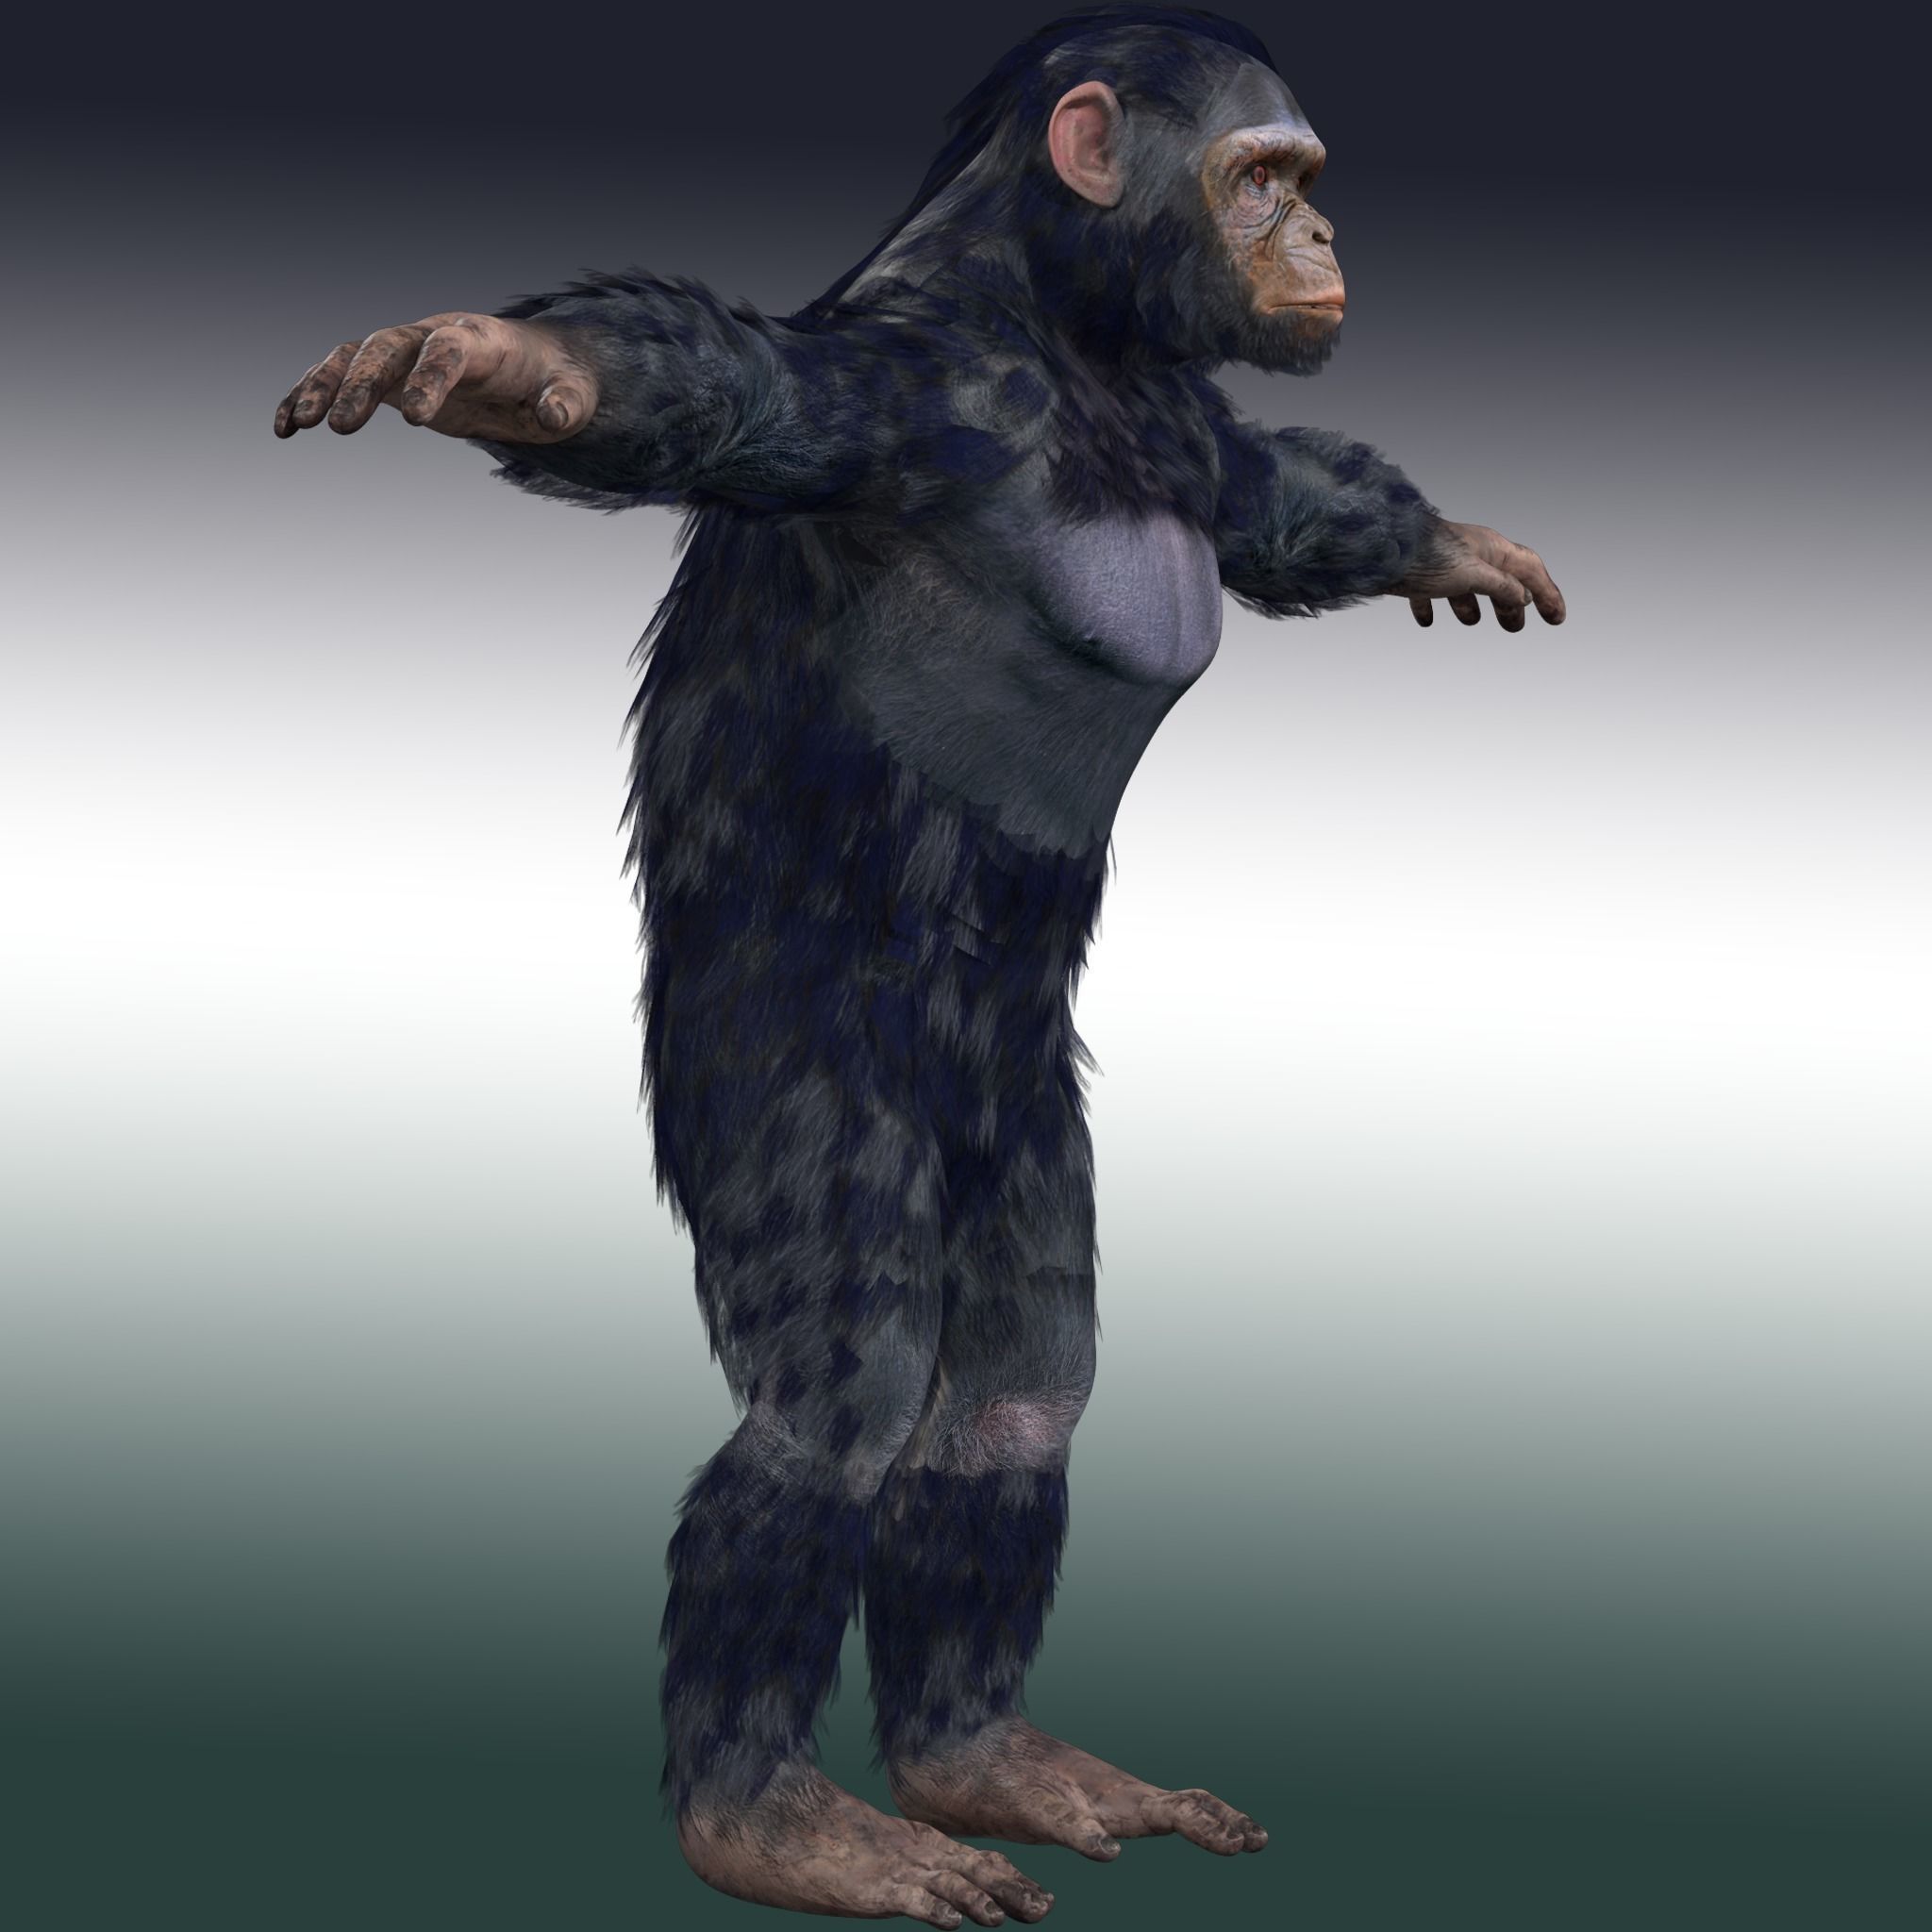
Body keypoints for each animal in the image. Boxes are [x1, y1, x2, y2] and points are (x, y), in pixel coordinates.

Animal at [272, 8, 1564, 1925]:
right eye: (1266, 179)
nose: (1325, 238)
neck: (1077, 348)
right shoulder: (920, 408)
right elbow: (741, 391)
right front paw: (503, 363)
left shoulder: (1186, 419)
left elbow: (1266, 498)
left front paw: (1437, 538)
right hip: (780, 1082)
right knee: (841, 1408)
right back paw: (770, 1817)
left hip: (1017, 1113)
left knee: (1015, 1395)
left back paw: (981, 1758)